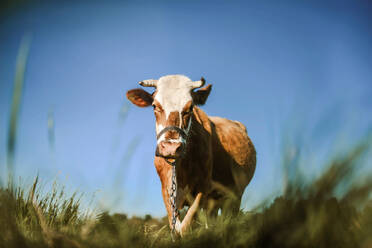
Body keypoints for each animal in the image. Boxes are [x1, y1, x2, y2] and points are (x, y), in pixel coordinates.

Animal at [125, 75, 256, 236]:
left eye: (191, 107)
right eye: (155, 106)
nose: (171, 147)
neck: (180, 169)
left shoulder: (203, 187)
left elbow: (186, 226)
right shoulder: (166, 190)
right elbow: (175, 226)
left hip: (235, 197)